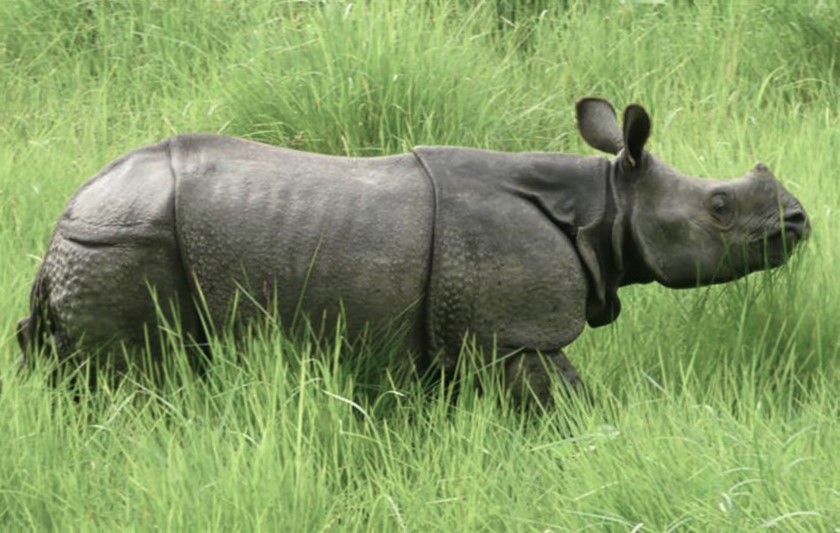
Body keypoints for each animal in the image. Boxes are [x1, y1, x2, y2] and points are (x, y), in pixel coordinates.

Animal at [16, 98, 810, 401]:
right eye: (719, 207)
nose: (799, 219)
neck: (605, 206)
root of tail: (64, 220)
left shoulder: (464, 335)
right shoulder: (514, 335)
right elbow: (566, 400)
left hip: (105, 239)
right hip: (124, 241)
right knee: (132, 382)